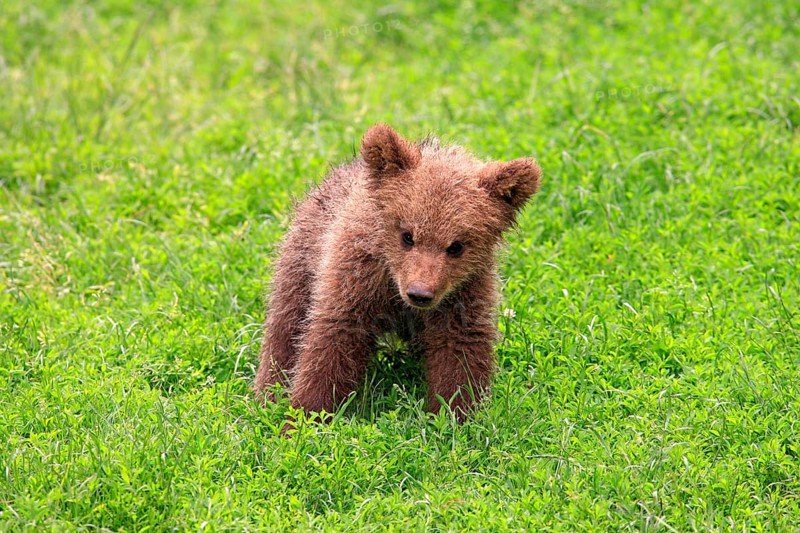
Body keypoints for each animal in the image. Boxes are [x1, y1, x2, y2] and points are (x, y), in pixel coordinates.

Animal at [254, 123, 541, 423]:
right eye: (407, 235)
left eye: (456, 246)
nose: (420, 293)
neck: (394, 284)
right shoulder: (357, 278)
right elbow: (332, 342)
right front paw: (305, 416)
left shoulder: (463, 292)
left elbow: (459, 352)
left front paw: (455, 414)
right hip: (302, 259)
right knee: (286, 325)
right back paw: (268, 391)